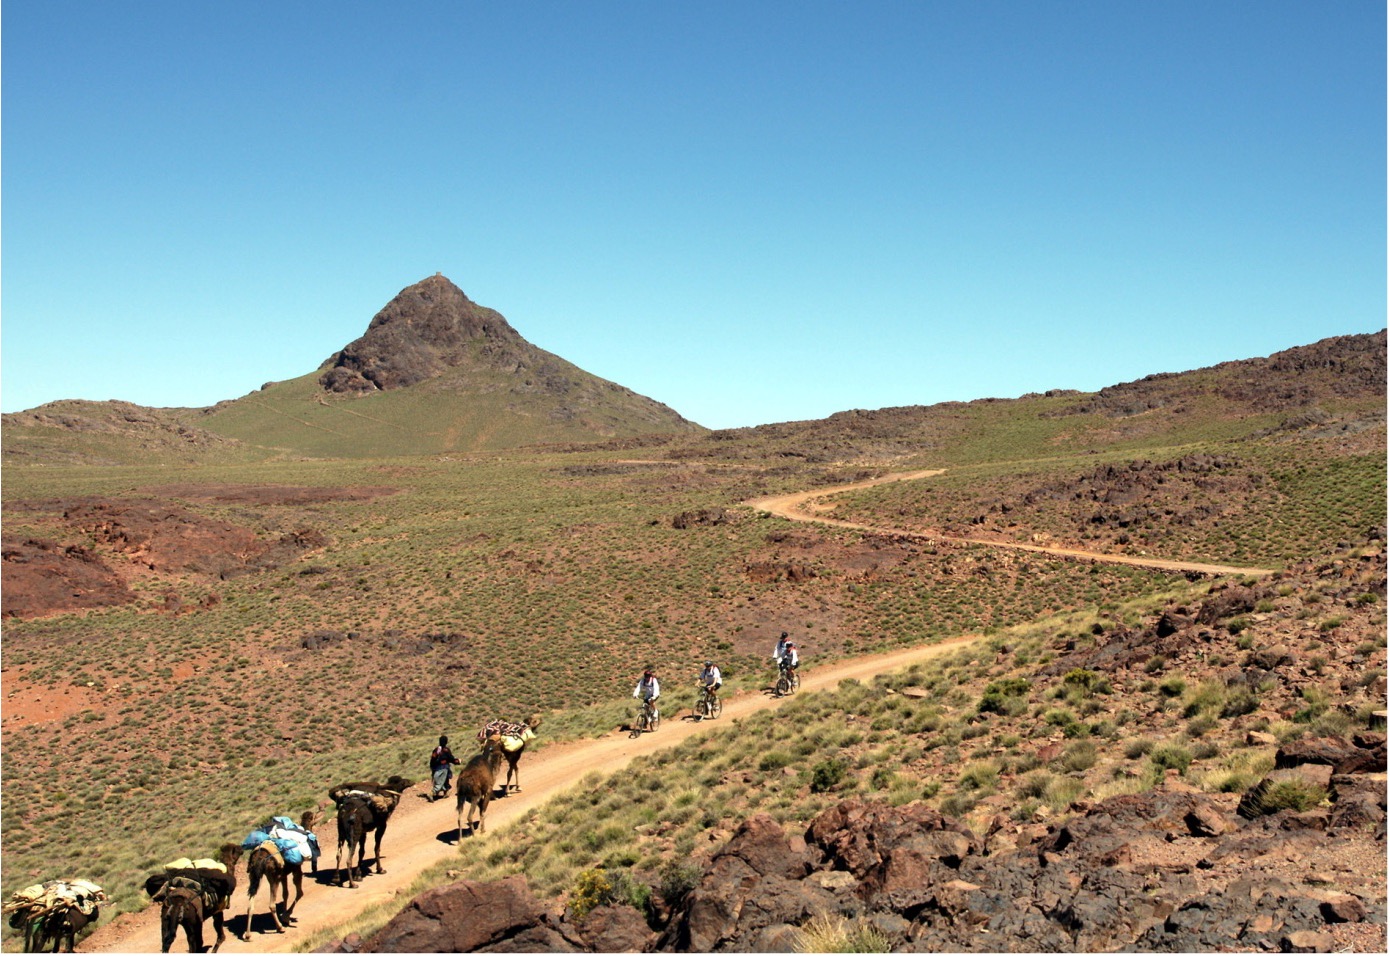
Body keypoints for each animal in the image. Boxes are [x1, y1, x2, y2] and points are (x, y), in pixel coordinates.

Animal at [244, 811, 322, 939]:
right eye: (313, 818)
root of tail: (259, 857)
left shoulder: (283, 875)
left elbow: (285, 894)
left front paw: (285, 916)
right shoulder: (296, 869)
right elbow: (300, 893)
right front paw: (286, 917)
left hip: (254, 875)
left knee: (250, 904)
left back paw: (247, 935)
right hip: (272, 876)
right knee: (271, 904)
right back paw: (280, 928)